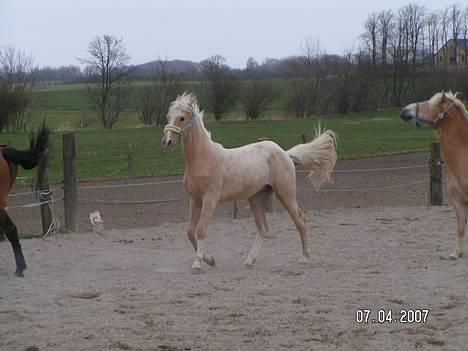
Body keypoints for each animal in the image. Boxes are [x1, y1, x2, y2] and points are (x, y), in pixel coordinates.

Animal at [161, 94, 336, 272]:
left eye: (182, 118)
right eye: (168, 116)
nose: (166, 142)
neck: (203, 159)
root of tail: (285, 153)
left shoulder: (210, 199)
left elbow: (201, 229)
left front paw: (198, 263)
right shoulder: (195, 199)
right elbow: (190, 231)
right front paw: (210, 260)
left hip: (285, 193)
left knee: (300, 221)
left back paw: (304, 257)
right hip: (256, 198)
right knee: (263, 227)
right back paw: (250, 260)